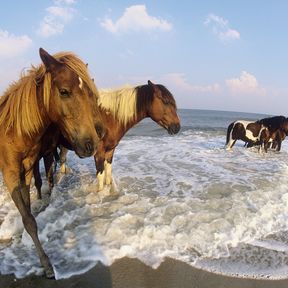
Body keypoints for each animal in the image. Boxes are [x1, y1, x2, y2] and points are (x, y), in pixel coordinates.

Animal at [0, 48, 102, 278]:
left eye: (91, 94)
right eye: (64, 91)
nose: (91, 143)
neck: (12, 130)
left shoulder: (27, 169)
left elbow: (29, 212)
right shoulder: (10, 173)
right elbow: (28, 217)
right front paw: (46, 264)